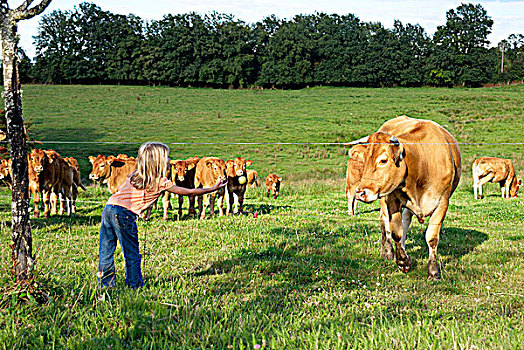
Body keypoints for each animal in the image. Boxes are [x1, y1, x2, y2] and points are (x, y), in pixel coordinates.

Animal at [354, 116, 460, 280]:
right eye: (364, 159)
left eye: (383, 160)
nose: (360, 192)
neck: (422, 163)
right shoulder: (392, 200)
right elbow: (396, 232)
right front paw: (403, 261)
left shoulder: (443, 202)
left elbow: (432, 237)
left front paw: (433, 271)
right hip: (383, 197)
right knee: (385, 222)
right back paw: (388, 252)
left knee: (406, 220)